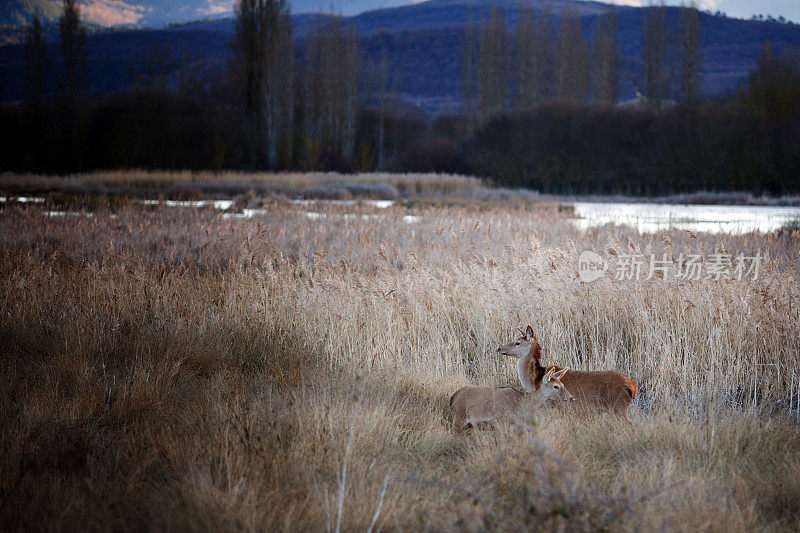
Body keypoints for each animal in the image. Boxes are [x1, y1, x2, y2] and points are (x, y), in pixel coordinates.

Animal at [496, 324, 640, 424]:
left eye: (517, 342)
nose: (499, 348)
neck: (535, 379)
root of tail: (633, 387)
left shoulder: (553, 408)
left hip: (619, 408)